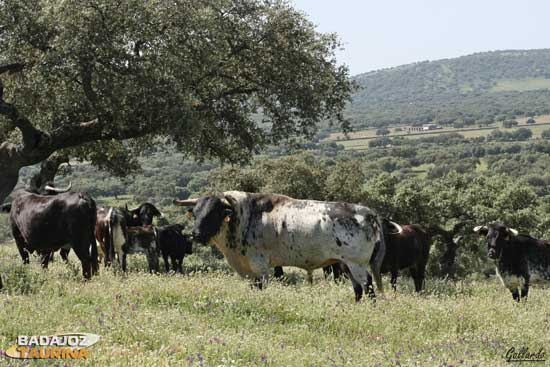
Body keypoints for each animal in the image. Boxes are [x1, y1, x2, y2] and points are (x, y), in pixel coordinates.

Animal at [175, 193, 404, 302]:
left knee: (368, 287)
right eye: (196, 212)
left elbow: (261, 287)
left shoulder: (260, 266)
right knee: (358, 289)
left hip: (357, 264)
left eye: (214, 212)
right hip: (345, 264)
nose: (195, 234)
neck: (243, 219)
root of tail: (366, 212)